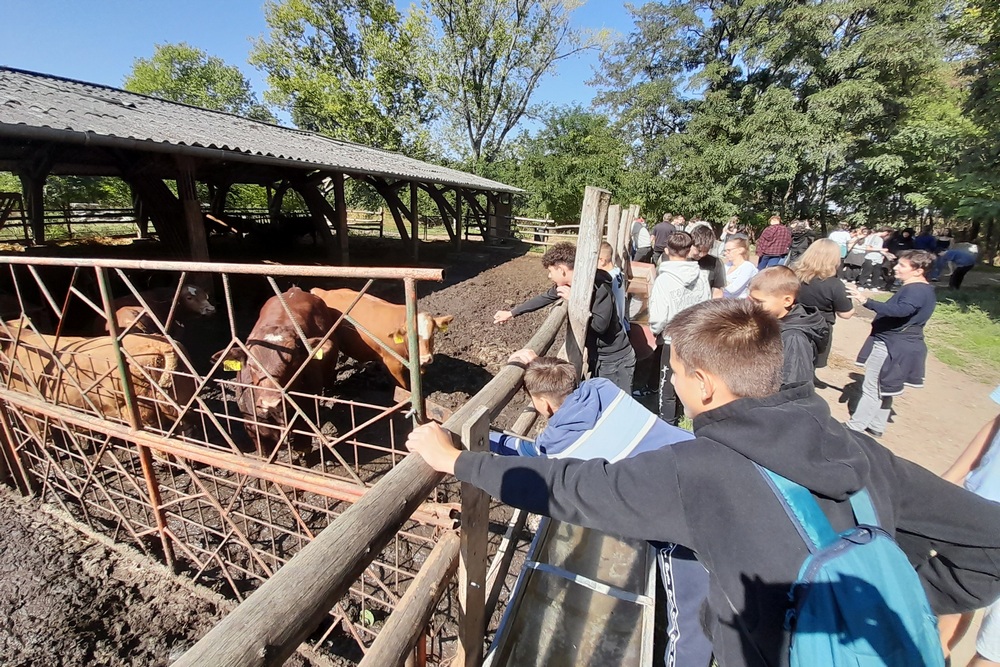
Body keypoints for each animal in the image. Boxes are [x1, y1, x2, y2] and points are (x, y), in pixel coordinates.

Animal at [213, 284, 338, 452]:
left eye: (295, 361)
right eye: (251, 365)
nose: (270, 403)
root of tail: (294, 290)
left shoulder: (305, 425)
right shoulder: (253, 429)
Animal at [308, 288, 458, 392]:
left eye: (432, 334)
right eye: (411, 336)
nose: (427, 358)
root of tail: (323, 292)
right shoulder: (393, 364)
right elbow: (403, 387)